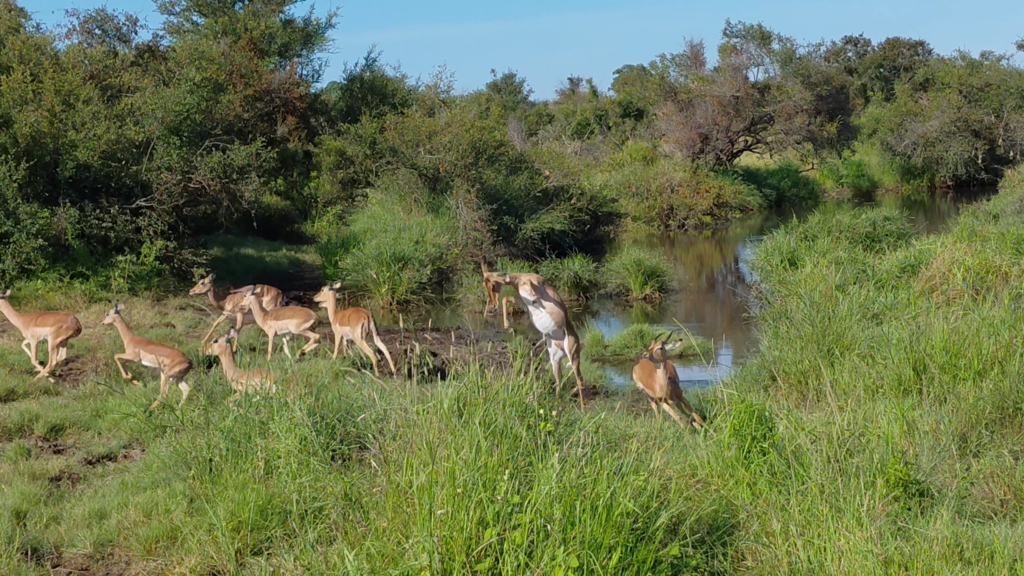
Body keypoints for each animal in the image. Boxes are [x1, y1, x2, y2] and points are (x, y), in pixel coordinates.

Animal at [485, 270, 586, 408]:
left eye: (492, 286)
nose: (492, 306)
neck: (522, 278)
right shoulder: (523, 300)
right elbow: (506, 299)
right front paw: (508, 326)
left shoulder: (534, 296)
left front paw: (508, 326)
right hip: (555, 360)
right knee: (559, 381)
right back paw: (556, 404)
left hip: (573, 358)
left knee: (580, 381)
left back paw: (583, 410)